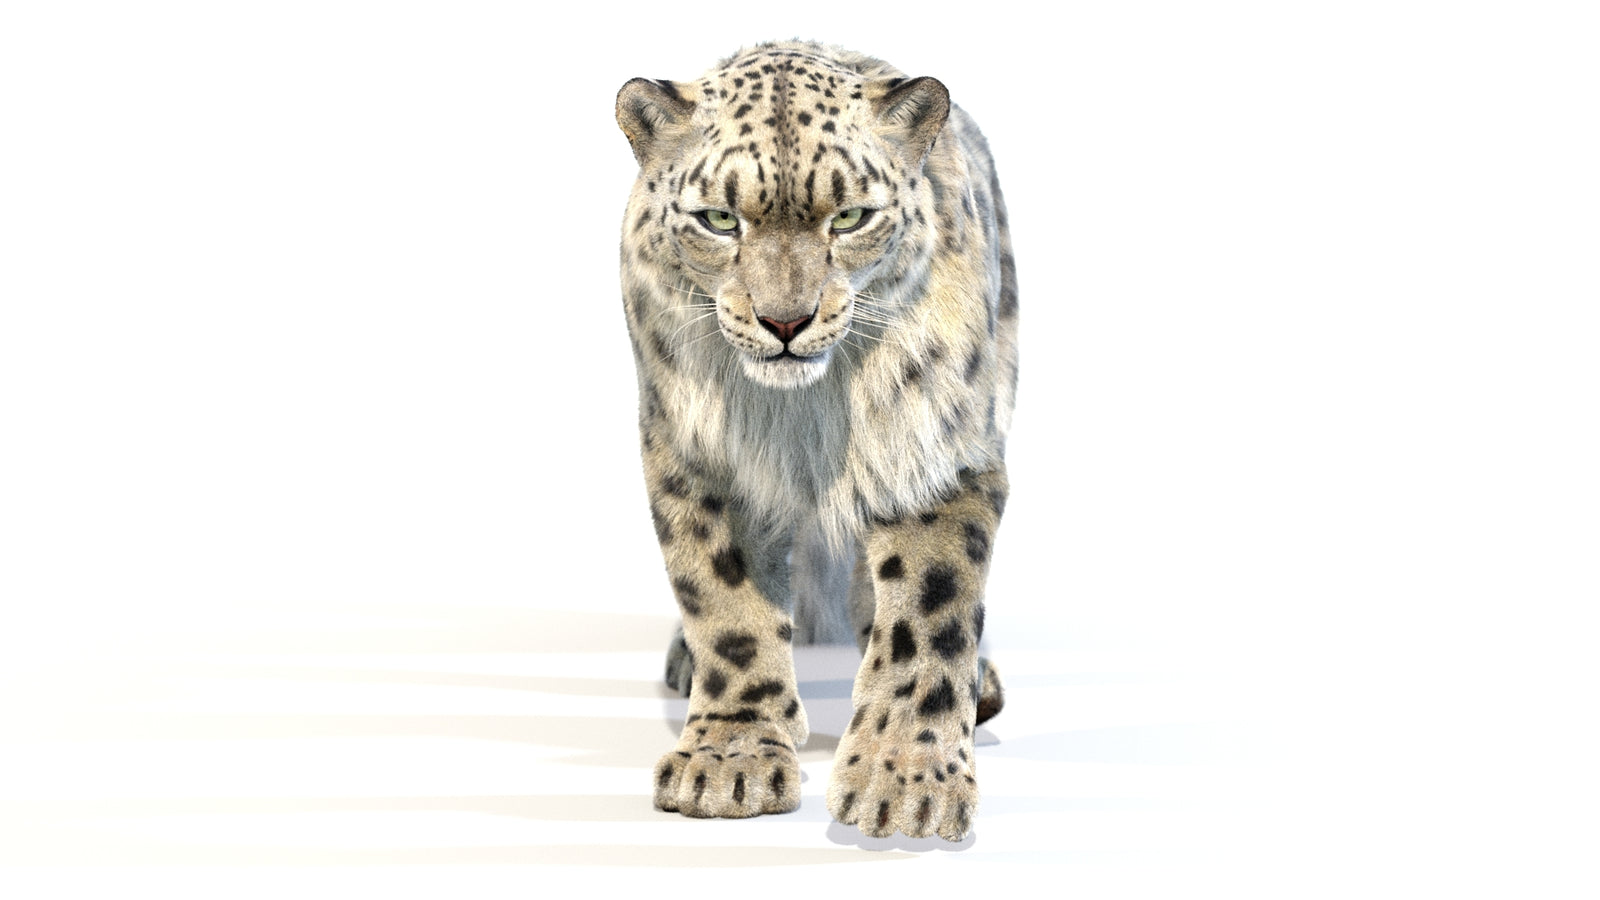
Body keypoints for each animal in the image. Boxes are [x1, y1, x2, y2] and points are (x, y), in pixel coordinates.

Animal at [615, 40, 1018, 842]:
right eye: (719, 219)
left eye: (851, 216)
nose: (785, 321)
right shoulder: (704, 458)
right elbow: (725, 602)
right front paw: (730, 759)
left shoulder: (934, 452)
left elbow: (929, 613)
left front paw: (906, 784)